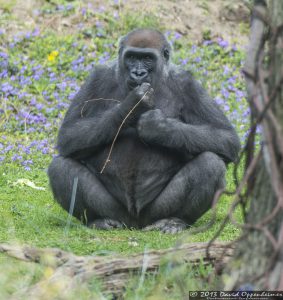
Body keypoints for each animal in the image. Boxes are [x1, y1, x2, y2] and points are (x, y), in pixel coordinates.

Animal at [47, 28, 241, 234]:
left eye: (148, 58)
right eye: (132, 57)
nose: (138, 73)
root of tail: (135, 224)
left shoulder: (189, 84)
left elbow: (226, 138)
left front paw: (158, 127)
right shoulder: (96, 77)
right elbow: (70, 134)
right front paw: (133, 106)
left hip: (154, 213)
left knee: (210, 163)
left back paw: (175, 220)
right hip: (118, 213)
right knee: (61, 167)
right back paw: (98, 219)